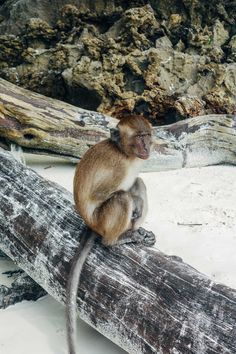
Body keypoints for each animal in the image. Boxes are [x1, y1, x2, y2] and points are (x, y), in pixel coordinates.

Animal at [66, 115, 155, 352]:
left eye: (147, 136)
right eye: (138, 138)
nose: (146, 146)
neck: (126, 153)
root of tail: (91, 225)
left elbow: (135, 183)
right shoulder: (117, 166)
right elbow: (103, 194)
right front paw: (133, 202)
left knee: (138, 183)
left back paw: (136, 231)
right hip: (101, 221)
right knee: (121, 198)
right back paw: (116, 240)